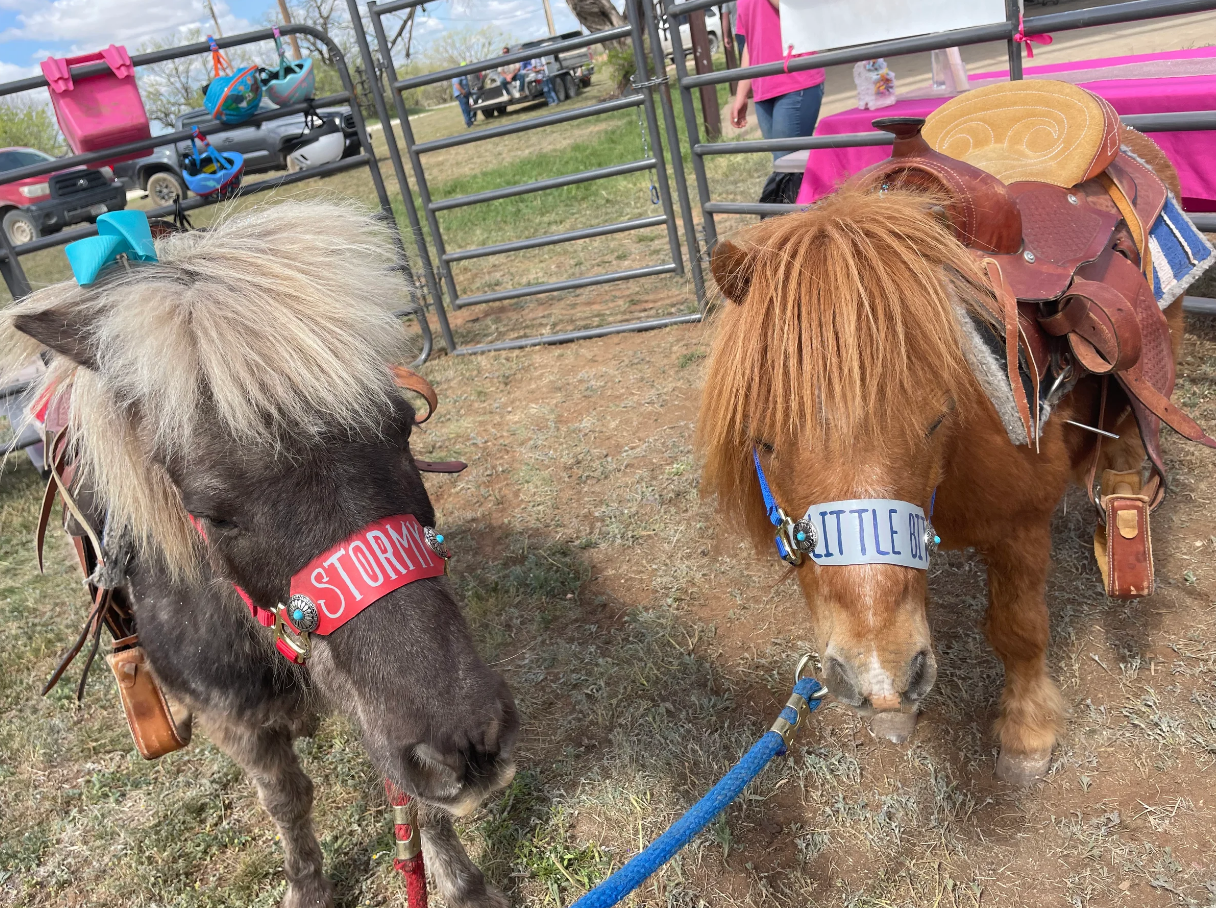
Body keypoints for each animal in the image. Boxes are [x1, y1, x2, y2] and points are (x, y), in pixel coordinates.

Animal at [1, 201, 518, 907]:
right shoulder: (237, 721)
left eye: (404, 427)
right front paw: (308, 888)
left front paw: (462, 885)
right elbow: (287, 800)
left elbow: (410, 796)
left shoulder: (376, 708)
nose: (468, 745)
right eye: (213, 511)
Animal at [696, 129, 1195, 784]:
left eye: (938, 419)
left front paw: (1026, 734)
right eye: (763, 440)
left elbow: (1019, 629)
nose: (876, 677)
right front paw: (898, 711)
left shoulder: (1020, 527)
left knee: (1126, 459)